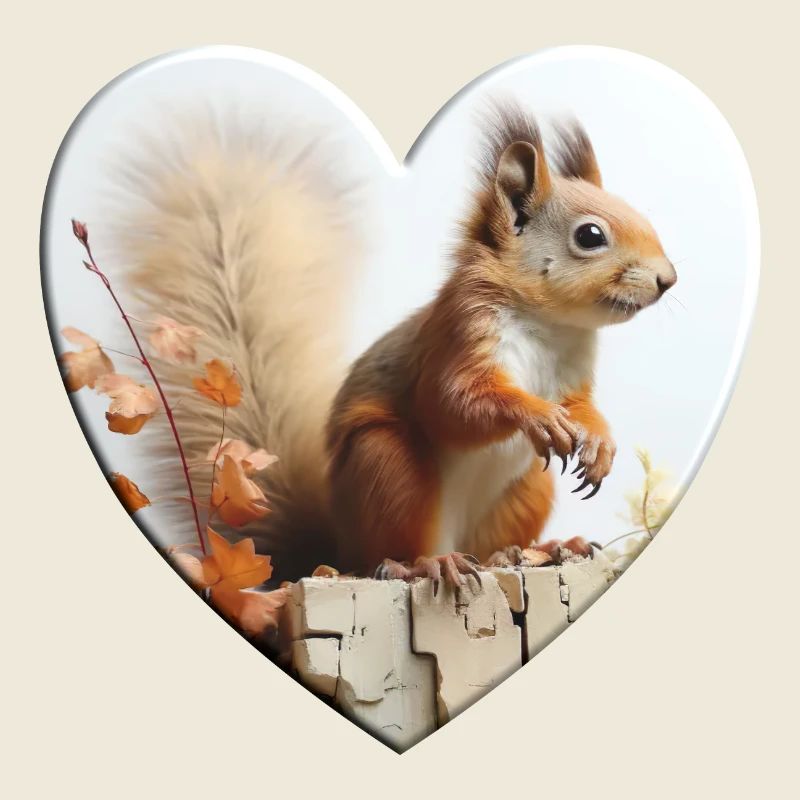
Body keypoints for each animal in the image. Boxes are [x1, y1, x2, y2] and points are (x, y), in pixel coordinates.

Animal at [119, 101, 676, 586]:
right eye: (590, 236)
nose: (668, 279)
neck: (550, 325)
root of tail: (335, 551)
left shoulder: (573, 371)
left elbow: (582, 407)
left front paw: (599, 442)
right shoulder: (459, 335)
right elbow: (453, 404)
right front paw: (537, 416)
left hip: (526, 490)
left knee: (493, 545)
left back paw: (541, 549)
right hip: (386, 467)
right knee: (390, 552)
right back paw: (425, 565)